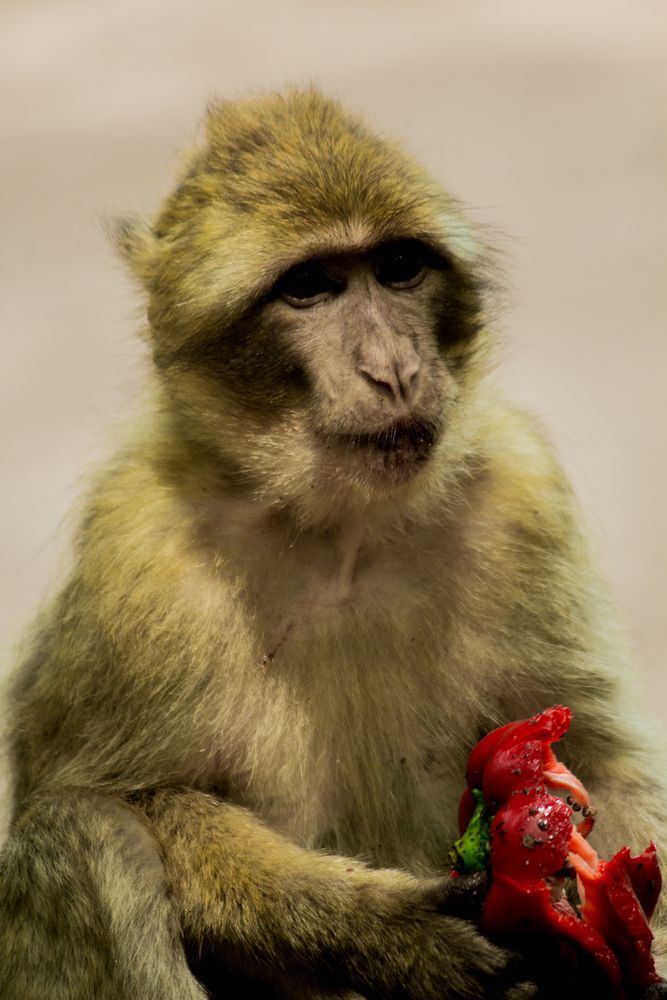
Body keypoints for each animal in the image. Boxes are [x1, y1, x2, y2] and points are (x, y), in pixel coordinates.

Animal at [1, 86, 667, 1000]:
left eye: (397, 268)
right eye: (308, 287)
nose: (393, 368)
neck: (341, 527)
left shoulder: (523, 493)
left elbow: (603, 764)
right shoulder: (136, 549)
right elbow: (125, 797)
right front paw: (394, 931)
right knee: (82, 834)